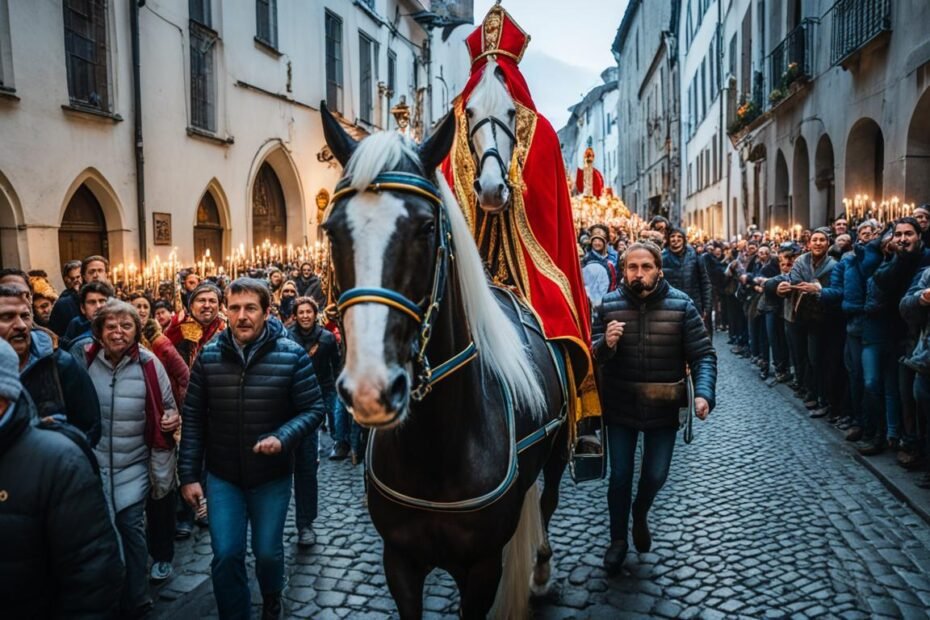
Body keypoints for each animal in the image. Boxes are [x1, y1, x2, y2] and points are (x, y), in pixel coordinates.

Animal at [318, 99, 564, 616]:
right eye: (331, 230)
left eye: (427, 227)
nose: (370, 388)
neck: (437, 446)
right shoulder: (400, 561)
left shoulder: (483, 567)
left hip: (557, 450)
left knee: (547, 501)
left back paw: (540, 574)